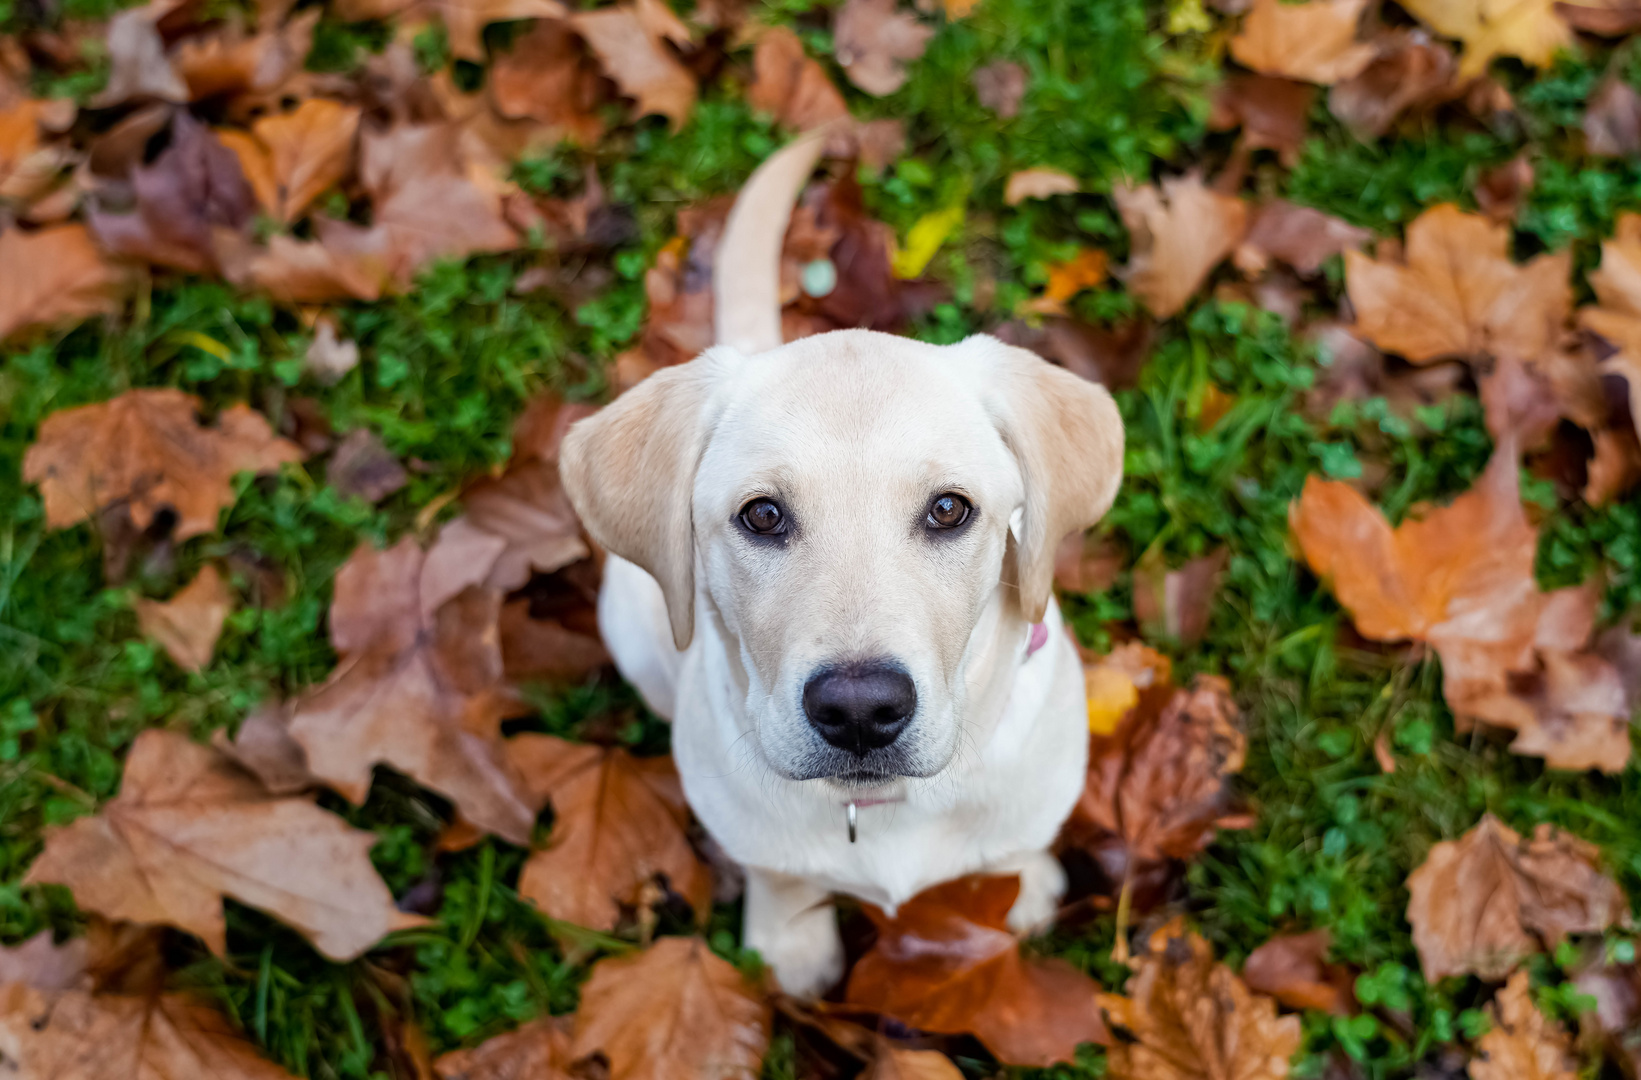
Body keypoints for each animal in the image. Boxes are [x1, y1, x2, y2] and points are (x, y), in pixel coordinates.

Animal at [557, 132, 1122, 991]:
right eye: (761, 516)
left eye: (949, 509)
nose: (859, 710)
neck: (879, 810)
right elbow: (780, 874)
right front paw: (789, 945)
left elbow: (1014, 849)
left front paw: (1023, 894)